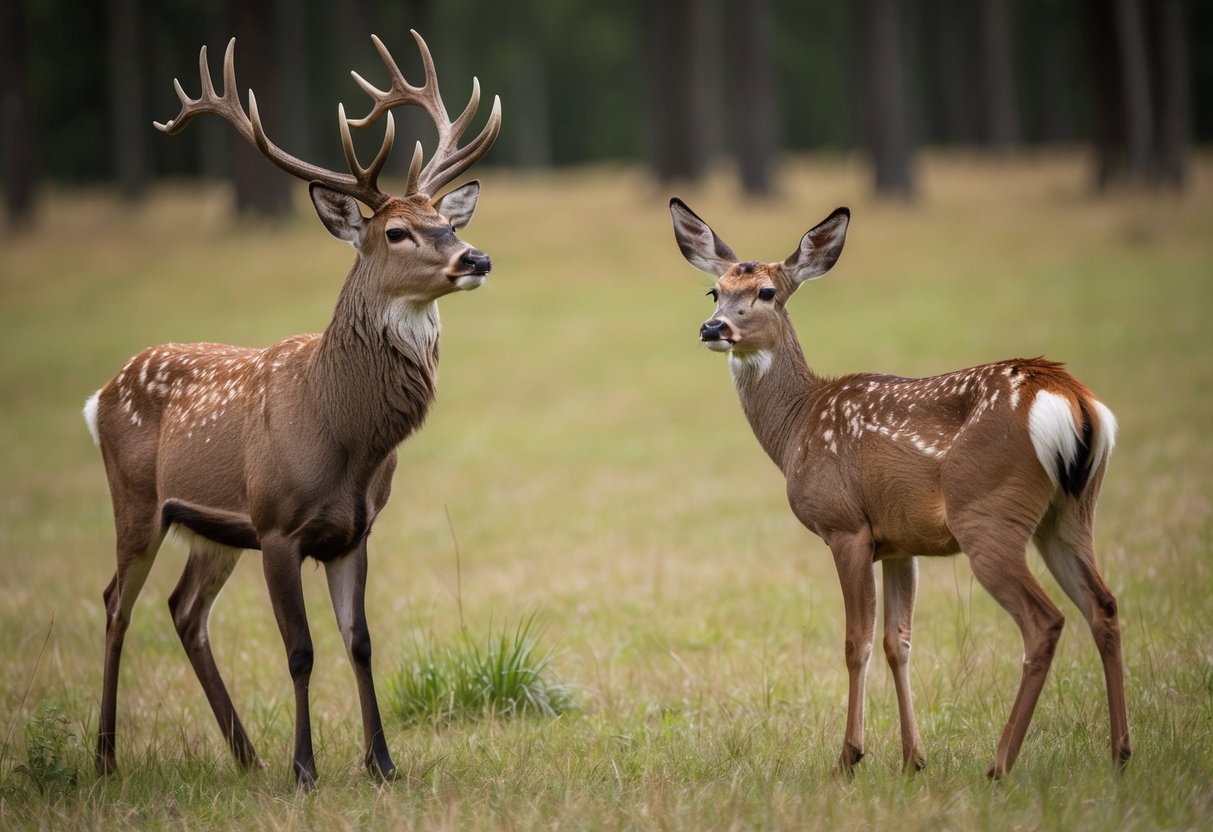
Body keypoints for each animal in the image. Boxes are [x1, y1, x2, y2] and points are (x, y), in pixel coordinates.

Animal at [83, 31, 501, 788]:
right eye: (396, 232)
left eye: (442, 221)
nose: (476, 258)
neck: (344, 435)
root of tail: (101, 396)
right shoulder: (277, 523)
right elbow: (301, 649)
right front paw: (305, 768)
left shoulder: (356, 530)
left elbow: (359, 641)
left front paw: (381, 763)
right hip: (136, 502)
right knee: (116, 603)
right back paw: (105, 757)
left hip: (212, 531)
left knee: (183, 610)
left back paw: (245, 756)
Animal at [668, 198, 1130, 779]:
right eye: (715, 290)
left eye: (766, 292)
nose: (713, 327)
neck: (797, 428)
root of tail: (1072, 398)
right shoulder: (900, 541)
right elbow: (898, 641)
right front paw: (914, 758)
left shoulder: (846, 526)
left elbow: (856, 642)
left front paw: (850, 755)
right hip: (1069, 513)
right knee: (1103, 605)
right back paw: (1120, 754)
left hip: (988, 512)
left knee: (1045, 621)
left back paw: (1000, 764)